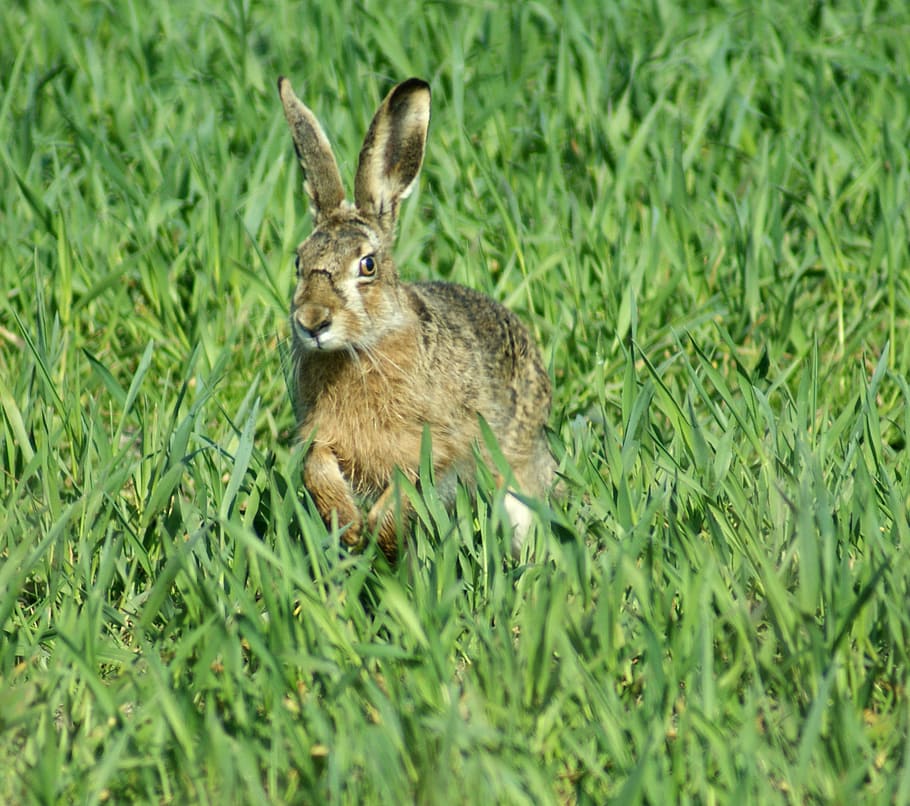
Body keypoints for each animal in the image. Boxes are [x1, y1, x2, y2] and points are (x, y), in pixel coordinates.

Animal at [277, 74, 554, 562]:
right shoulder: (320, 437)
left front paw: (379, 535)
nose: (312, 322)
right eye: (298, 261)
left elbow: (408, 488)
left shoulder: (439, 445)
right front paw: (348, 526)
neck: (362, 348)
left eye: (367, 265)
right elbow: (317, 469)